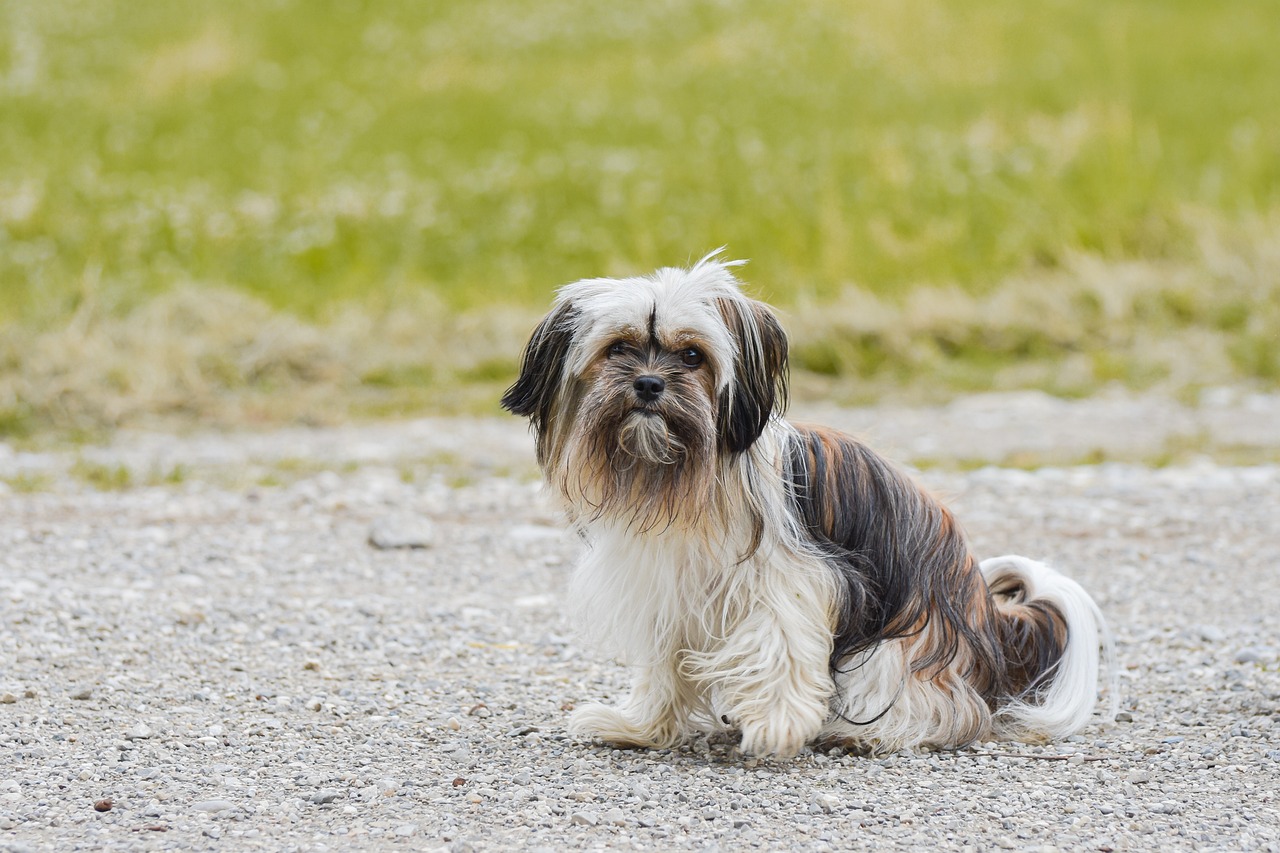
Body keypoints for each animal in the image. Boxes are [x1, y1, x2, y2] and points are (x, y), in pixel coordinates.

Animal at [499, 249, 1111, 753]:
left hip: (905, 638)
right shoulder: (668, 590)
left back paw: (872, 732)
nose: (649, 384)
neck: (681, 476)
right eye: (619, 347)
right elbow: (663, 667)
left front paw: (775, 725)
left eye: (692, 355)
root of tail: (988, 618)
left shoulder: (793, 581)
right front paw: (641, 727)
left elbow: (781, 647)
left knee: (946, 705)